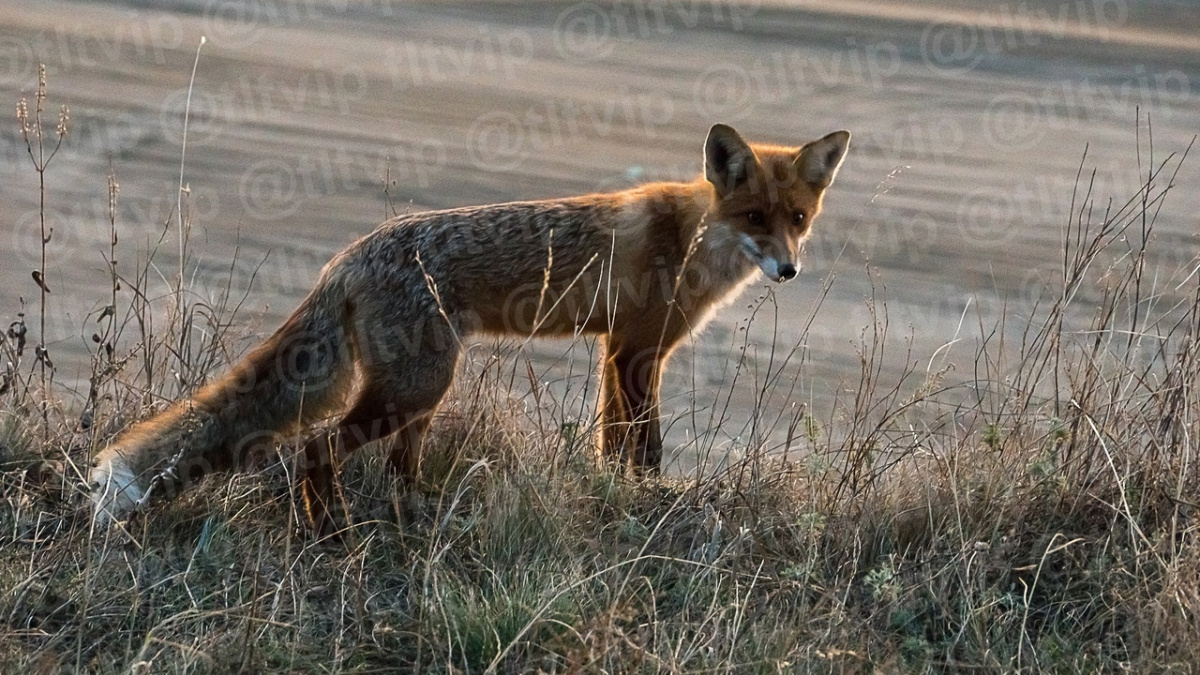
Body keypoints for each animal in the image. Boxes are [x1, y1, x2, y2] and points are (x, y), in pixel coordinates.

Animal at [88, 120, 849, 530]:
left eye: (798, 218)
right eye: (755, 217)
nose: (788, 270)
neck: (692, 241)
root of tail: (346, 257)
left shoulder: (619, 349)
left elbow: (612, 440)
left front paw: (617, 493)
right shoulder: (638, 351)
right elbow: (646, 445)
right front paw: (648, 495)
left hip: (421, 391)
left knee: (395, 464)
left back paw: (413, 510)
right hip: (416, 386)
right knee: (315, 447)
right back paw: (331, 534)